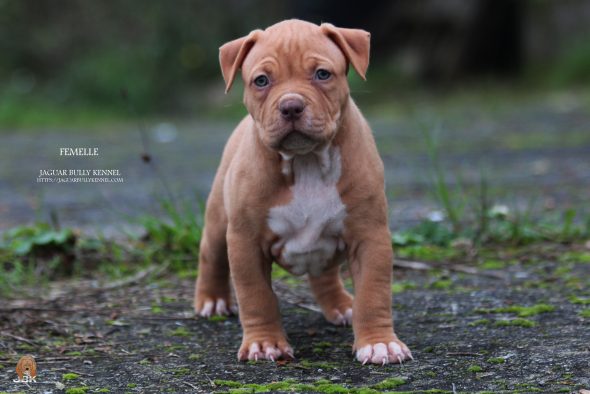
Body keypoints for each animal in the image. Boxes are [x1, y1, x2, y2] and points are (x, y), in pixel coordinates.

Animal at [194, 17, 412, 364]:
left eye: (322, 74)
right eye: (261, 80)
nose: (291, 106)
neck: (306, 161)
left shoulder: (370, 235)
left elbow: (373, 293)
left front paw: (379, 343)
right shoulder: (246, 241)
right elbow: (256, 295)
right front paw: (264, 343)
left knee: (324, 273)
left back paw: (342, 306)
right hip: (219, 220)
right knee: (210, 255)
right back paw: (212, 300)